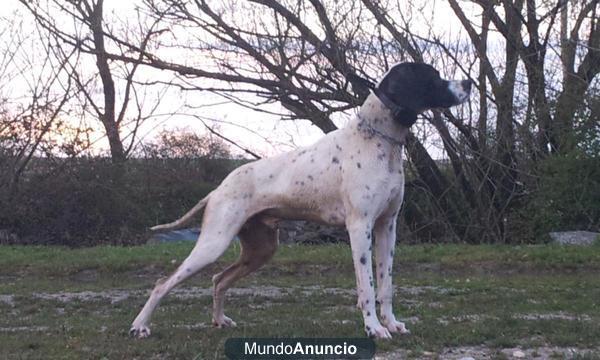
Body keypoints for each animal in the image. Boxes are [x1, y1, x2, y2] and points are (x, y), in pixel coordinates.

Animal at [129, 62, 472, 340]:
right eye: (433, 76)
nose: (468, 83)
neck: (379, 139)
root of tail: (218, 189)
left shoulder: (387, 227)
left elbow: (385, 286)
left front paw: (391, 324)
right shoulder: (359, 228)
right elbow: (367, 286)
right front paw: (373, 328)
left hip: (261, 249)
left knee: (219, 278)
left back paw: (219, 320)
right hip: (214, 242)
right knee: (163, 283)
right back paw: (140, 326)